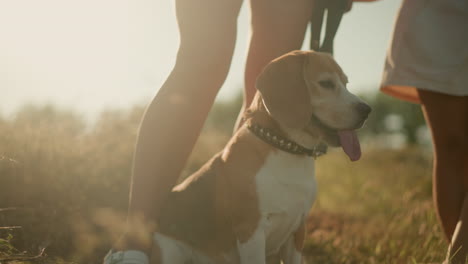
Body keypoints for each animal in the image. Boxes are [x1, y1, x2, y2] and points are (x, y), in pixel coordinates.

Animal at [150, 50, 370, 264]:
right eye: (326, 83)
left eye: (346, 83)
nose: (367, 110)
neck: (287, 150)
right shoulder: (251, 232)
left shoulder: (298, 229)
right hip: (170, 251)